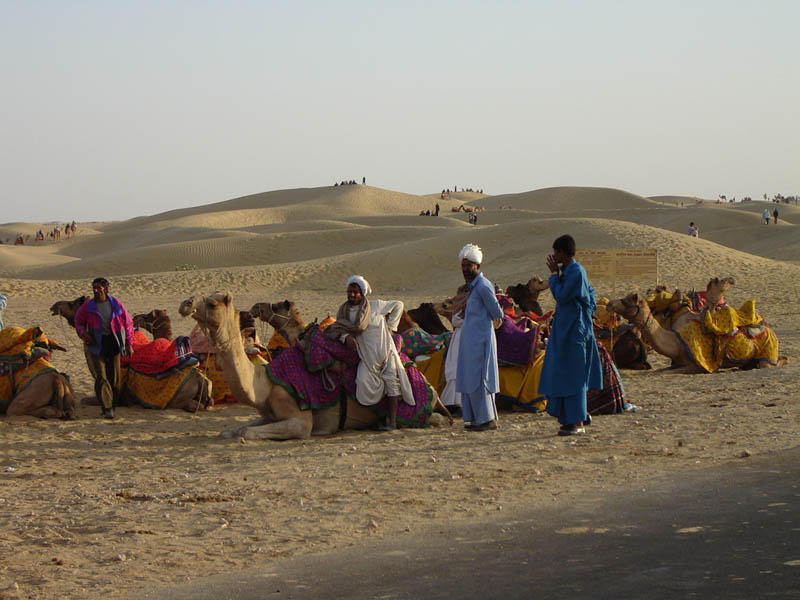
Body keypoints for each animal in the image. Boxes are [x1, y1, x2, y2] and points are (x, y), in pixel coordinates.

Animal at [608, 278, 788, 372]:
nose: (610, 303)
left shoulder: (694, 365)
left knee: (771, 362)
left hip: (767, 352)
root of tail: (771, 331)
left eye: (626, 301)